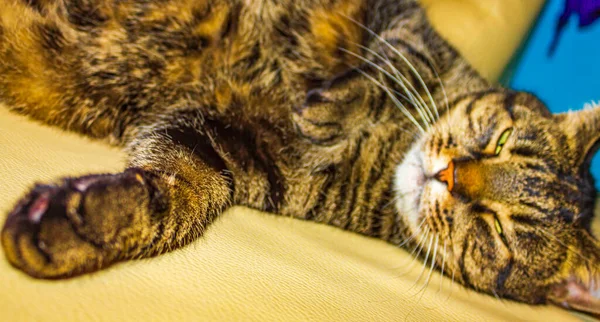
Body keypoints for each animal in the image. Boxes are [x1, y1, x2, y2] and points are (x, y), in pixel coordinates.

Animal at [1, 0, 600, 316]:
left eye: (496, 230)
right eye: (499, 140)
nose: (447, 173)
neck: (387, 151)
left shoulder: (231, 150)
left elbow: (175, 194)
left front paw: (82, 222)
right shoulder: (404, 22)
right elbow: (389, 67)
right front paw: (328, 111)